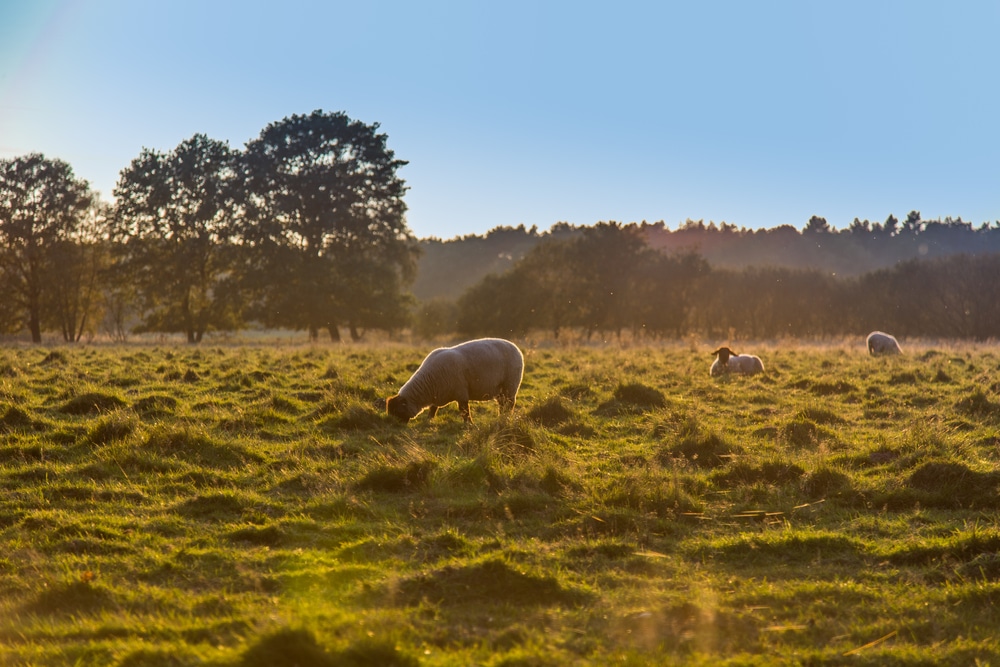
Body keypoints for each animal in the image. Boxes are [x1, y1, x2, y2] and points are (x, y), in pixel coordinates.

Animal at [384, 336, 524, 426]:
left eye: (397, 411)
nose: (395, 427)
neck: (428, 383)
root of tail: (516, 347)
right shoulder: (438, 394)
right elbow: (433, 408)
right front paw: (429, 420)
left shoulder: (461, 393)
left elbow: (464, 411)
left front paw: (469, 426)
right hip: (501, 390)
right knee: (502, 404)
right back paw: (501, 417)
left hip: (510, 385)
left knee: (509, 404)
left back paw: (505, 418)